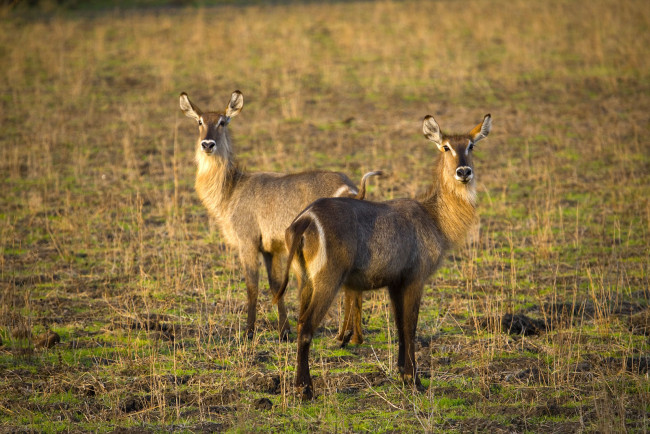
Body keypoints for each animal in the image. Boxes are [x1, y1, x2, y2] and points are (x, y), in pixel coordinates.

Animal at [180, 91, 378, 340]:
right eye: (199, 122)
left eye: (222, 122)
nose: (207, 144)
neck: (231, 189)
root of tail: (353, 189)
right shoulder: (269, 248)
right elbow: (276, 286)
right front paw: (284, 331)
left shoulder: (247, 241)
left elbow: (252, 286)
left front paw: (249, 332)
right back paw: (350, 336)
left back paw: (343, 336)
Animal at [274, 113, 492, 398]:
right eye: (446, 147)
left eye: (471, 146)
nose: (464, 172)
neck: (433, 217)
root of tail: (305, 220)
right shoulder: (415, 278)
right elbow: (410, 327)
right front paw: (415, 380)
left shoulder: (395, 282)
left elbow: (399, 326)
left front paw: (402, 374)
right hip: (327, 280)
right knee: (307, 326)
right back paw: (306, 389)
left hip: (304, 280)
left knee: (300, 321)